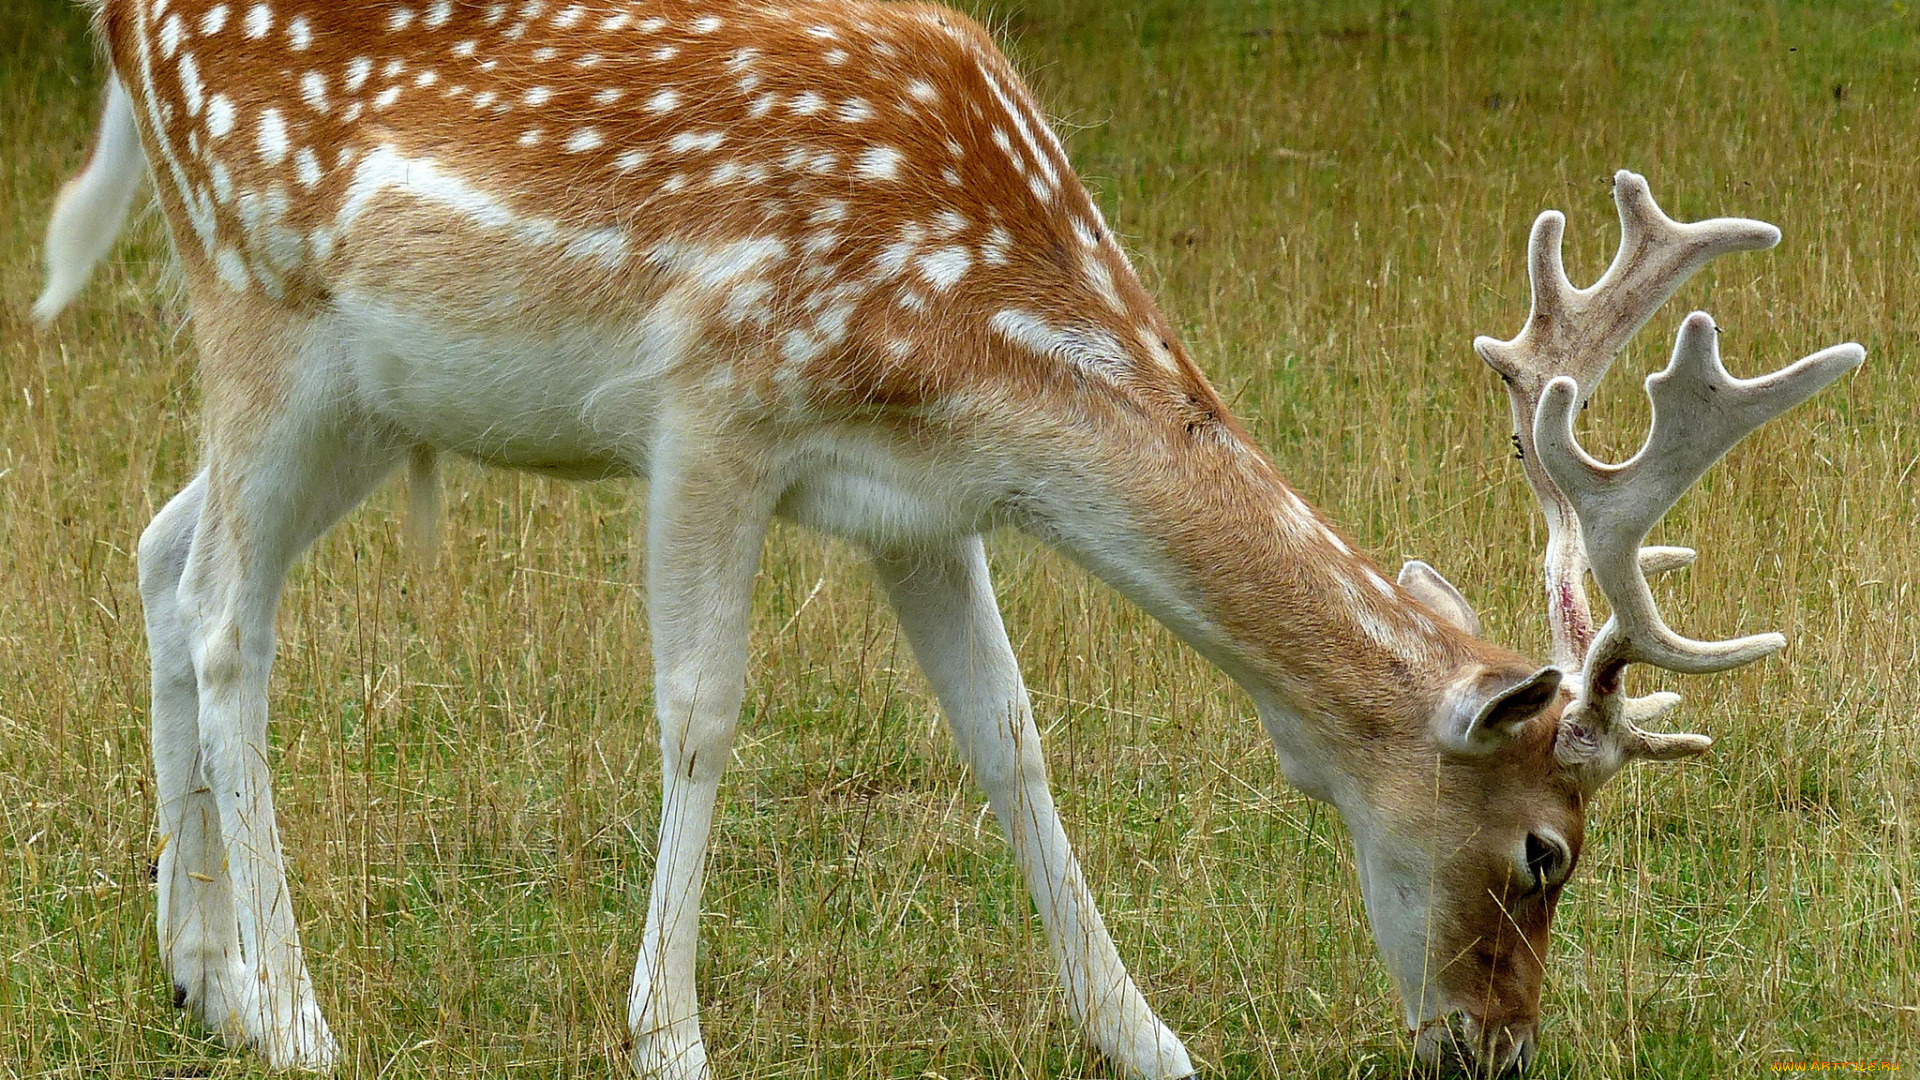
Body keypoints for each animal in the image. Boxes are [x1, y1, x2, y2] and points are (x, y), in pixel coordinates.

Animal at [33, 0, 1858, 1068]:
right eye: (1548, 853)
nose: (1498, 1042)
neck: (981, 334)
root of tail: (119, 18)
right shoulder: (714, 402)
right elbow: (700, 715)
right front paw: (666, 1037)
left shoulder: (922, 503)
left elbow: (1010, 734)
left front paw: (1147, 1039)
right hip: (259, 293)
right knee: (227, 614)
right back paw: (300, 1017)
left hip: (371, 395)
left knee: (160, 552)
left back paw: (201, 976)